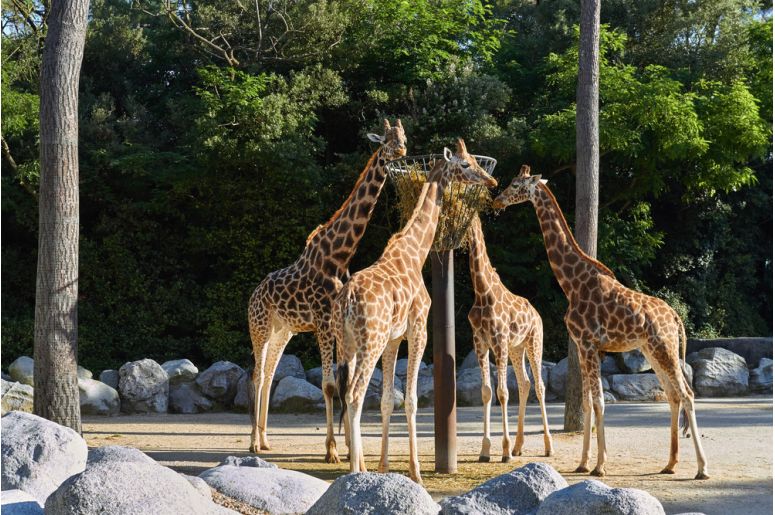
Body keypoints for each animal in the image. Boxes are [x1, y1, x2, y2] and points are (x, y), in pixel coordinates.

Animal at [247, 119, 407, 463]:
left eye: (403, 137)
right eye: (386, 140)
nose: (401, 151)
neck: (340, 255)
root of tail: (253, 294)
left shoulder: (336, 324)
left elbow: (344, 381)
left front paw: (348, 447)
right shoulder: (322, 321)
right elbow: (330, 384)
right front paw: (333, 450)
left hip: (283, 330)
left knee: (269, 373)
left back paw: (265, 441)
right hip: (259, 327)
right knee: (256, 375)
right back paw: (252, 442)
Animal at [333, 139, 497, 484]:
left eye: (476, 160)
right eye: (464, 164)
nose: (490, 181)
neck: (415, 252)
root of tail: (347, 300)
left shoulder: (393, 339)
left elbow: (386, 402)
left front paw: (384, 468)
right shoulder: (418, 328)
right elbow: (410, 401)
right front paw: (416, 471)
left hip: (348, 344)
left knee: (346, 395)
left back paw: (359, 467)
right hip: (369, 342)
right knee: (354, 395)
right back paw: (354, 471)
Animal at [466, 213, 553, 463]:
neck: (482, 291)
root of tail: (537, 314)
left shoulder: (499, 341)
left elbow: (503, 393)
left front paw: (504, 452)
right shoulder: (480, 342)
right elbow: (487, 392)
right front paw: (485, 451)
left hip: (534, 342)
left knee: (539, 385)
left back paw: (547, 446)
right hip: (517, 348)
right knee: (525, 383)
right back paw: (518, 446)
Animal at [492, 165, 709, 480]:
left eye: (516, 185)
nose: (497, 201)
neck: (571, 284)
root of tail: (675, 317)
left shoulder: (588, 344)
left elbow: (598, 401)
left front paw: (600, 466)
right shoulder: (585, 347)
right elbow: (587, 403)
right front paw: (583, 463)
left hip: (664, 347)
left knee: (688, 394)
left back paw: (702, 468)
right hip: (651, 350)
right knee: (673, 395)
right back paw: (670, 464)